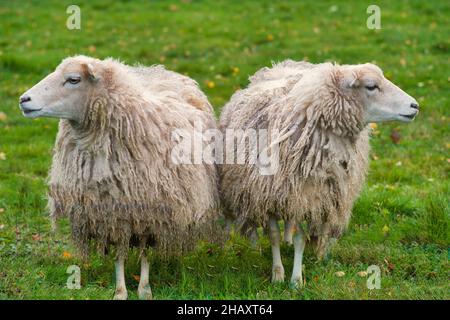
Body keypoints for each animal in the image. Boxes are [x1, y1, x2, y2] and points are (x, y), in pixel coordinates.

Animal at [20, 55, 222, 300]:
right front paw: (120, 290)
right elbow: (119, 253)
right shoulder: (110, 212)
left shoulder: (149, 209)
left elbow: (144, 250)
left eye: (73, 79)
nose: (23, 99)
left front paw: (144, 288)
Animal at [220, 59, 420, 288]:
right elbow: (273, 235)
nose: (415, 106)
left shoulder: (312, 199)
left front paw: (296, 280)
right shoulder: (269, 196)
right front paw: (278, 274)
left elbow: (301, 239)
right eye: (371, 86)